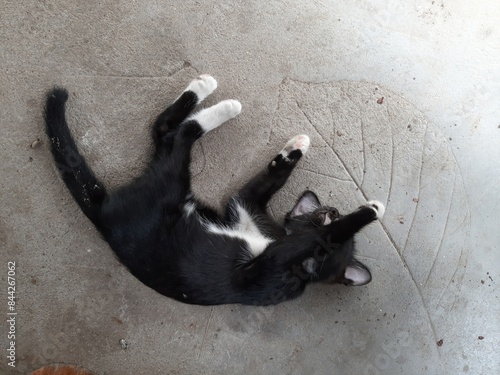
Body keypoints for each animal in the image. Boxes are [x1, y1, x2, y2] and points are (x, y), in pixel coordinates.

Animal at [45, 75, 384, 306]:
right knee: (168, 131)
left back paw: (216, 102)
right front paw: (296, 148)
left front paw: (369, 212)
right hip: (171, 184)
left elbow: (322, 239)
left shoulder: (264, 270)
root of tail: (103, 214)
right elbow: (270, 178)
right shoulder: (246, 204)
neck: (276, 237)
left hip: (167, 186)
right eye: (327, 213)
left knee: (175, 135)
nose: (332, 211)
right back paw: (213, 95)